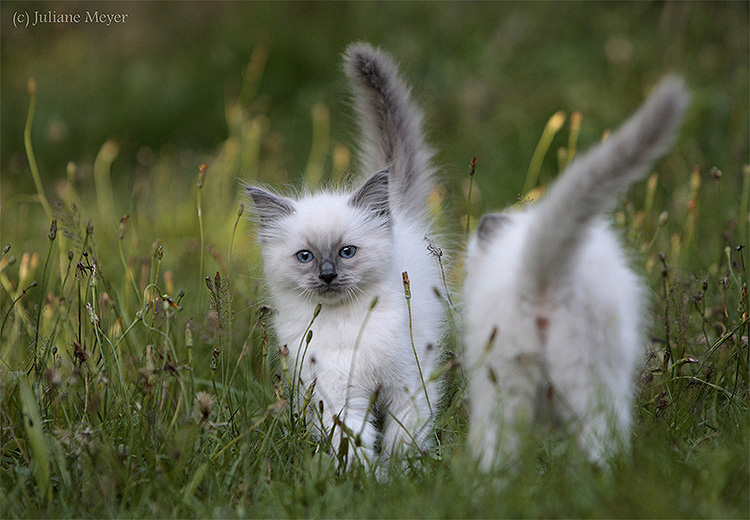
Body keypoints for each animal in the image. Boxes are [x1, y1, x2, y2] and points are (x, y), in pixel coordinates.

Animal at [247, 42, 446, 470]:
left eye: (347, 252)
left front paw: (403, 474)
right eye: (305, 257)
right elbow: (351, 442)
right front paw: (365, 478)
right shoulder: (337, 394)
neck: (347, 325)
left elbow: (402, 438)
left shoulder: (406, 383)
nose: (327, 275)